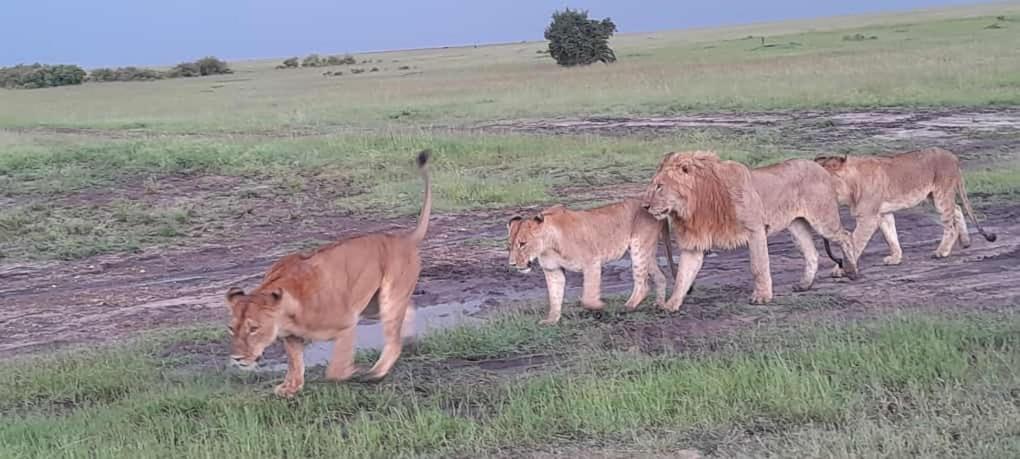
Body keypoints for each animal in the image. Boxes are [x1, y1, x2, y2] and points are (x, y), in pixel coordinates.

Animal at [225, 148, 432, 395]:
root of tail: (404, 239)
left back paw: (375, 373)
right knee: (406, 310)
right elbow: (295, 362)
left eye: (254, 328)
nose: (237, 359)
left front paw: (351, 371)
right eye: (231, 329)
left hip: (387, 299)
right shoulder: (291, 337)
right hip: (373, 306)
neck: (287, 314)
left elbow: (335, 369)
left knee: (393, 340)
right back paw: (408, 338)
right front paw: (290, 388)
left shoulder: (347, 323)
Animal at [503, 198, 677, 324]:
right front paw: (551, 320)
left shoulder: (592, 262)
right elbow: (554, 297)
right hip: (646, 252)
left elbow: (587, 297)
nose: (512, 264)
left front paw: (599, 306)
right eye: (509, 245)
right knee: (661, 276)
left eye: (522, 243)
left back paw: (627, 307)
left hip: (638, 248)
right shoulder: (553, 270)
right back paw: (659, 306)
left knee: (643, 284)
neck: (548, 246)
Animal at [640, 151, 856, 310]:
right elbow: (683, 276)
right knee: (812, 253)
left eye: (659, 187)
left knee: (846, 236)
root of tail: (820, 167)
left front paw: (762, 297)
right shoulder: (694, 243)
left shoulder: (755, 229)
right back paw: (804, 284)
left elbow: (758, 266)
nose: (645, 206)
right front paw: (670, 305)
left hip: (823, 220)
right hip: (797, 225)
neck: (695, 205)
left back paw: (851, 270)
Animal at [811, 147, 995, 273]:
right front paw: (896, 258)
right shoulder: (882, 213)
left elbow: (856, 241)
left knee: (950, 224)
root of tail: (953, 156)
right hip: (933, 195)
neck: (851, 186)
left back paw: (942, 251)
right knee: (956, 208)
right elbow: (891, 236)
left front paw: (841, 270)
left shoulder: (868, 218)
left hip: (941, 194)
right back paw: (965, 242)